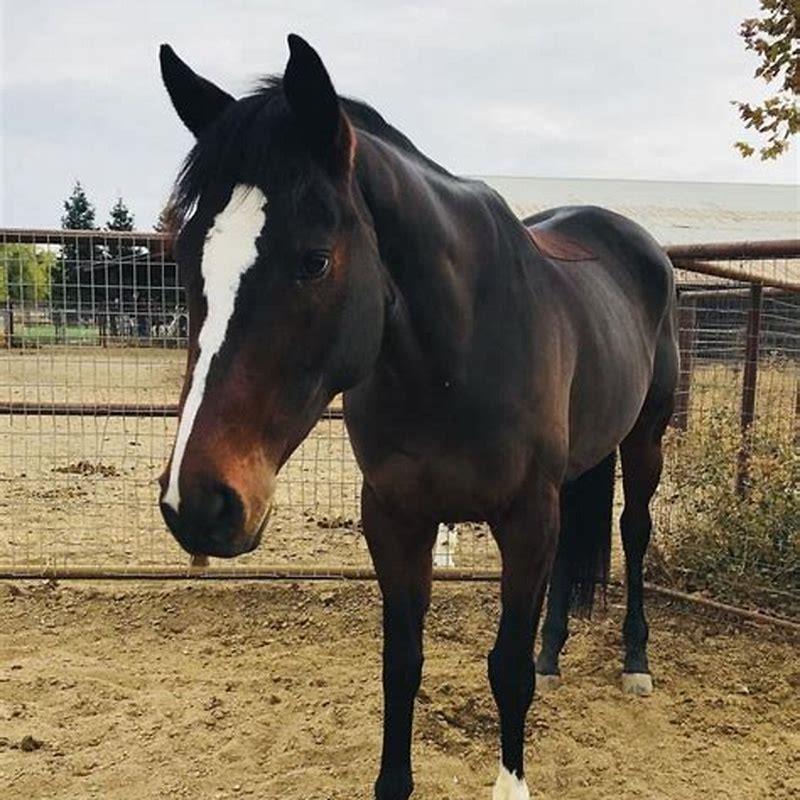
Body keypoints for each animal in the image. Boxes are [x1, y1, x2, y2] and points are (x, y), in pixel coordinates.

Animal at [157, 35, 678, 800]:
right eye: (187, 255)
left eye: (315, 261)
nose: (198, 502)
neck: (452, 356)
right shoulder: (395, 515)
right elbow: (402, 663)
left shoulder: (526, 516)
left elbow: (505, 669)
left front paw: (512, 781)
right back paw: (554, 653)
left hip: (645, 441)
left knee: (634, 533)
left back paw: (635, 661)